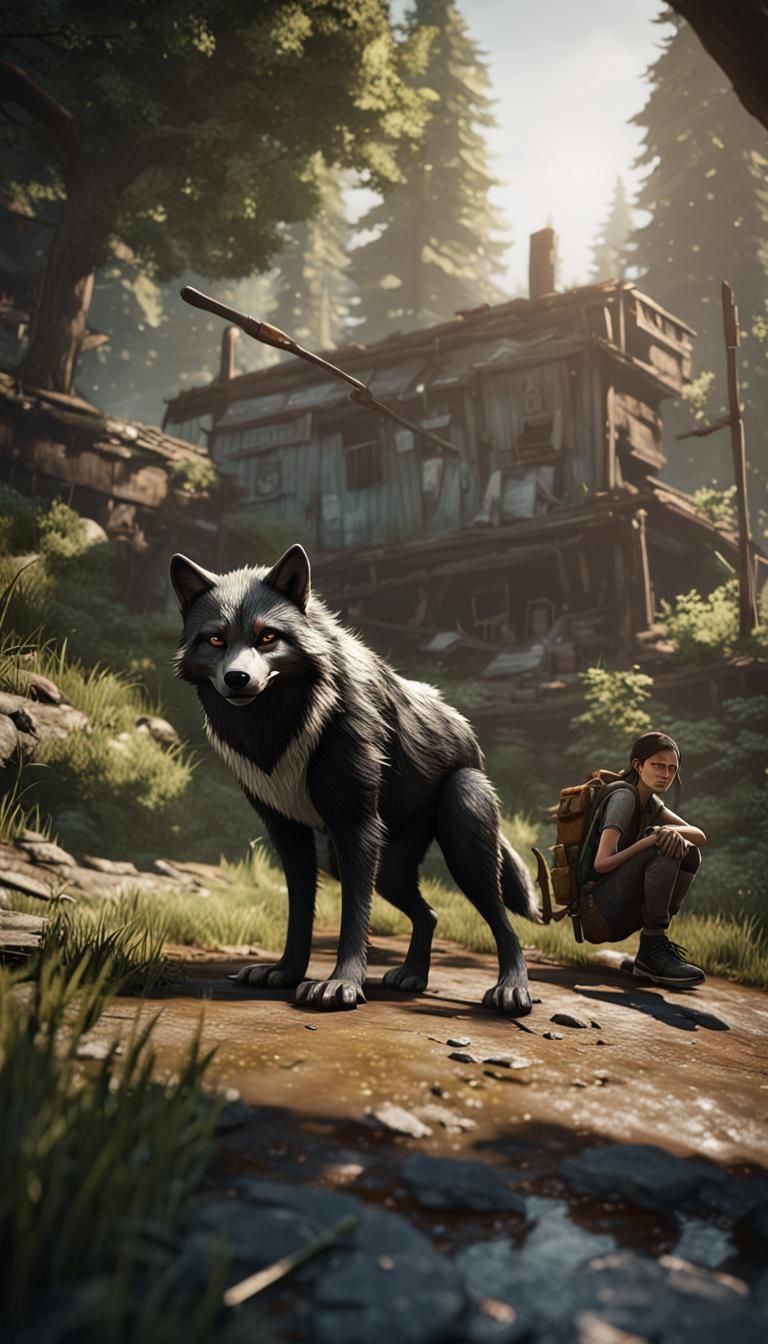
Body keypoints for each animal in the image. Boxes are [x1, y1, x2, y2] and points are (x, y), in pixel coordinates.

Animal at [170, 544, 540, 1015]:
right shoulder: (288, 833)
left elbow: (353, 916)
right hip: (388, 869)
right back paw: (413, 976)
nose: (237, 679)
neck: (278, 725)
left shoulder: (355, 828)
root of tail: (471, 742)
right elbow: (299, 909)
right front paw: (286, 972)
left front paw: (341, 984)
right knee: (430, 913)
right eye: (215, 639)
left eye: (267, 637)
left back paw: (512, 989)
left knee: (503, 921)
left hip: (462, 844)